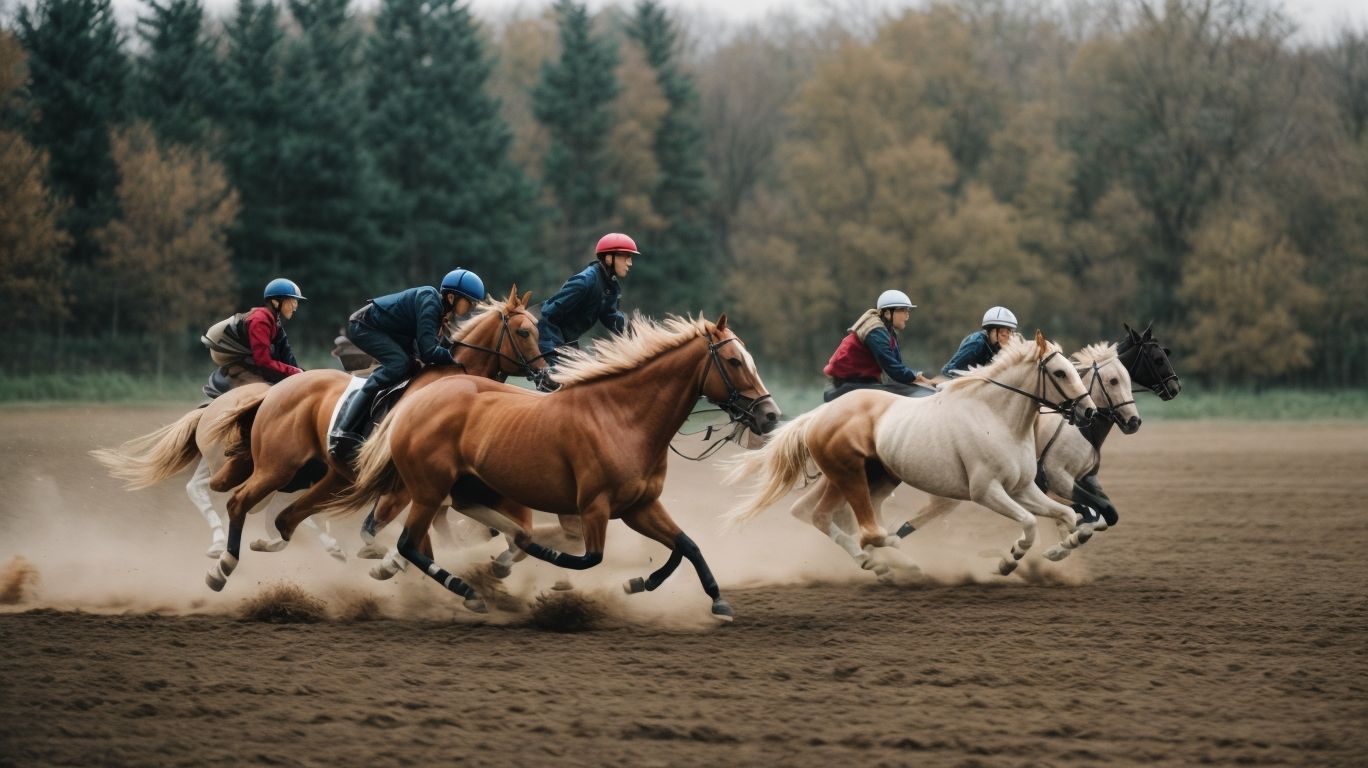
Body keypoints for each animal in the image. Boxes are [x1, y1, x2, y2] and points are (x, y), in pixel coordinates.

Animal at [200, 288, 547, 593]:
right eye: (524, 332)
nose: (544, 376)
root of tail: (276, 389)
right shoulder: (409, 488)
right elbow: (398, 537)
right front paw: (386, 560)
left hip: (333, 477)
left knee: (287, 519)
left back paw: (269, 544)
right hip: (278, 467)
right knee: (239, 502)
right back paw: (222, 567)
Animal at [324, 314, 782, 620]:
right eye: (735, 361)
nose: (770, 416)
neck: (624, 418)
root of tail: (416, 399)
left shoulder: (639, 506)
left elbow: (686, 545)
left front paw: (691, 593)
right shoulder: (595, 506)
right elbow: (587, 559)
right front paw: (540, 570)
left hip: (464, 487)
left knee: (445, 531)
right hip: (429, 487)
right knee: (407, 543)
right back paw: (464, 587)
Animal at [723, 331, 1098, 577]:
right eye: (1060, 372)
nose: (1089, 411)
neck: (996, 417)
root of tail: (818, 415)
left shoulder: (1023, 488)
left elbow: (1065, 515)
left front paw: (1060, 549)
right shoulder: (987, 491)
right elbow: (1031, 522)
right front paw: (1011, 558)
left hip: (874, 477)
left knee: (827, 516)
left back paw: (890, 561)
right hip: (849, 475)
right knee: (847, 525)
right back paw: (882, 560)